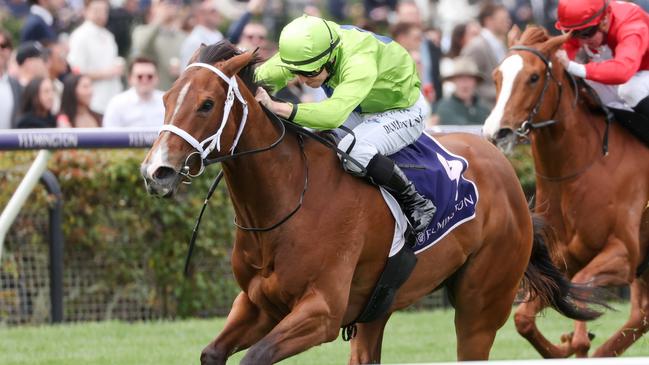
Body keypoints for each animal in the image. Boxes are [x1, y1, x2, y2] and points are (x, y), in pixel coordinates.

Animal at [142, 41, 604, 362]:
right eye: (166, 98)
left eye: (206, 104)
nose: (155, 172)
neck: (285, 201)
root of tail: (506, 171)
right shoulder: (257, 304)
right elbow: (212, 353)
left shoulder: (321, 312)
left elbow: (256, 356)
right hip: (379, 305)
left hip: (481, 305)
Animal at [480, 26, 648, 358]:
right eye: (496, 76)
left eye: (534, 77)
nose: (496, 133)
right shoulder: (560, 260)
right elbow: (523, 319)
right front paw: (567, 344)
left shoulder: (623, 253)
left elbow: (583, 288)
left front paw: (578, 340)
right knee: (641, 314)